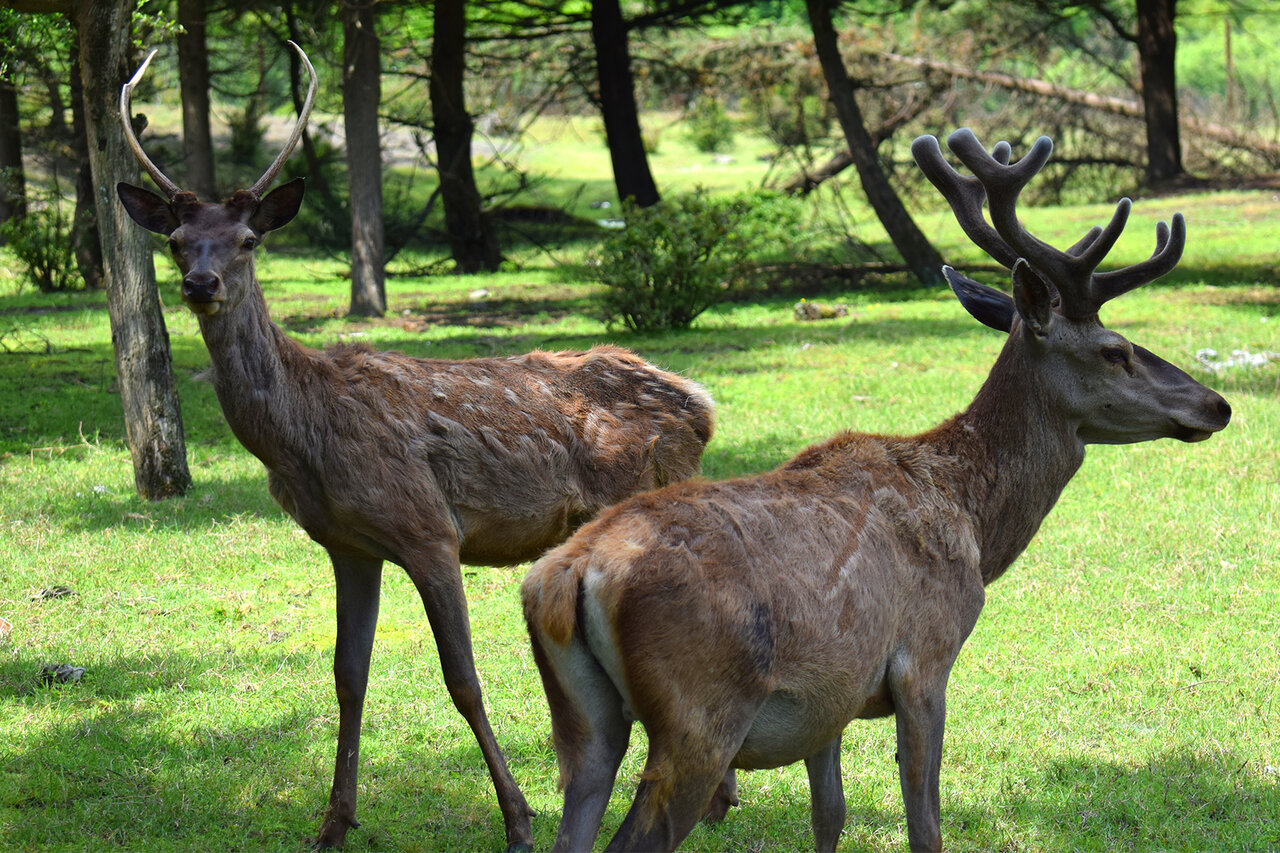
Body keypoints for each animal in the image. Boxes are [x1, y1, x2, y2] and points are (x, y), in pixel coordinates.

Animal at [114, 43, 714, 852]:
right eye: (175, 241)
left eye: (248, 240)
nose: (201, 283)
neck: (304, 437)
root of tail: (700, 405)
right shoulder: (347, 545)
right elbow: (347, 675)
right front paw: (333, 822)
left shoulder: (428, 528)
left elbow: (463, 678)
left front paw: (518, 818)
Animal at [520, 127, 1232, 853]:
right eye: (1117, 350)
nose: (1216, 404)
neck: (973, 520)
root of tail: (566, 574)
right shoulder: (925, 656)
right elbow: (925, 820)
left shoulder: (829, 695)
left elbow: (829, 812)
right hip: (700, 713)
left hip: (584, 720)